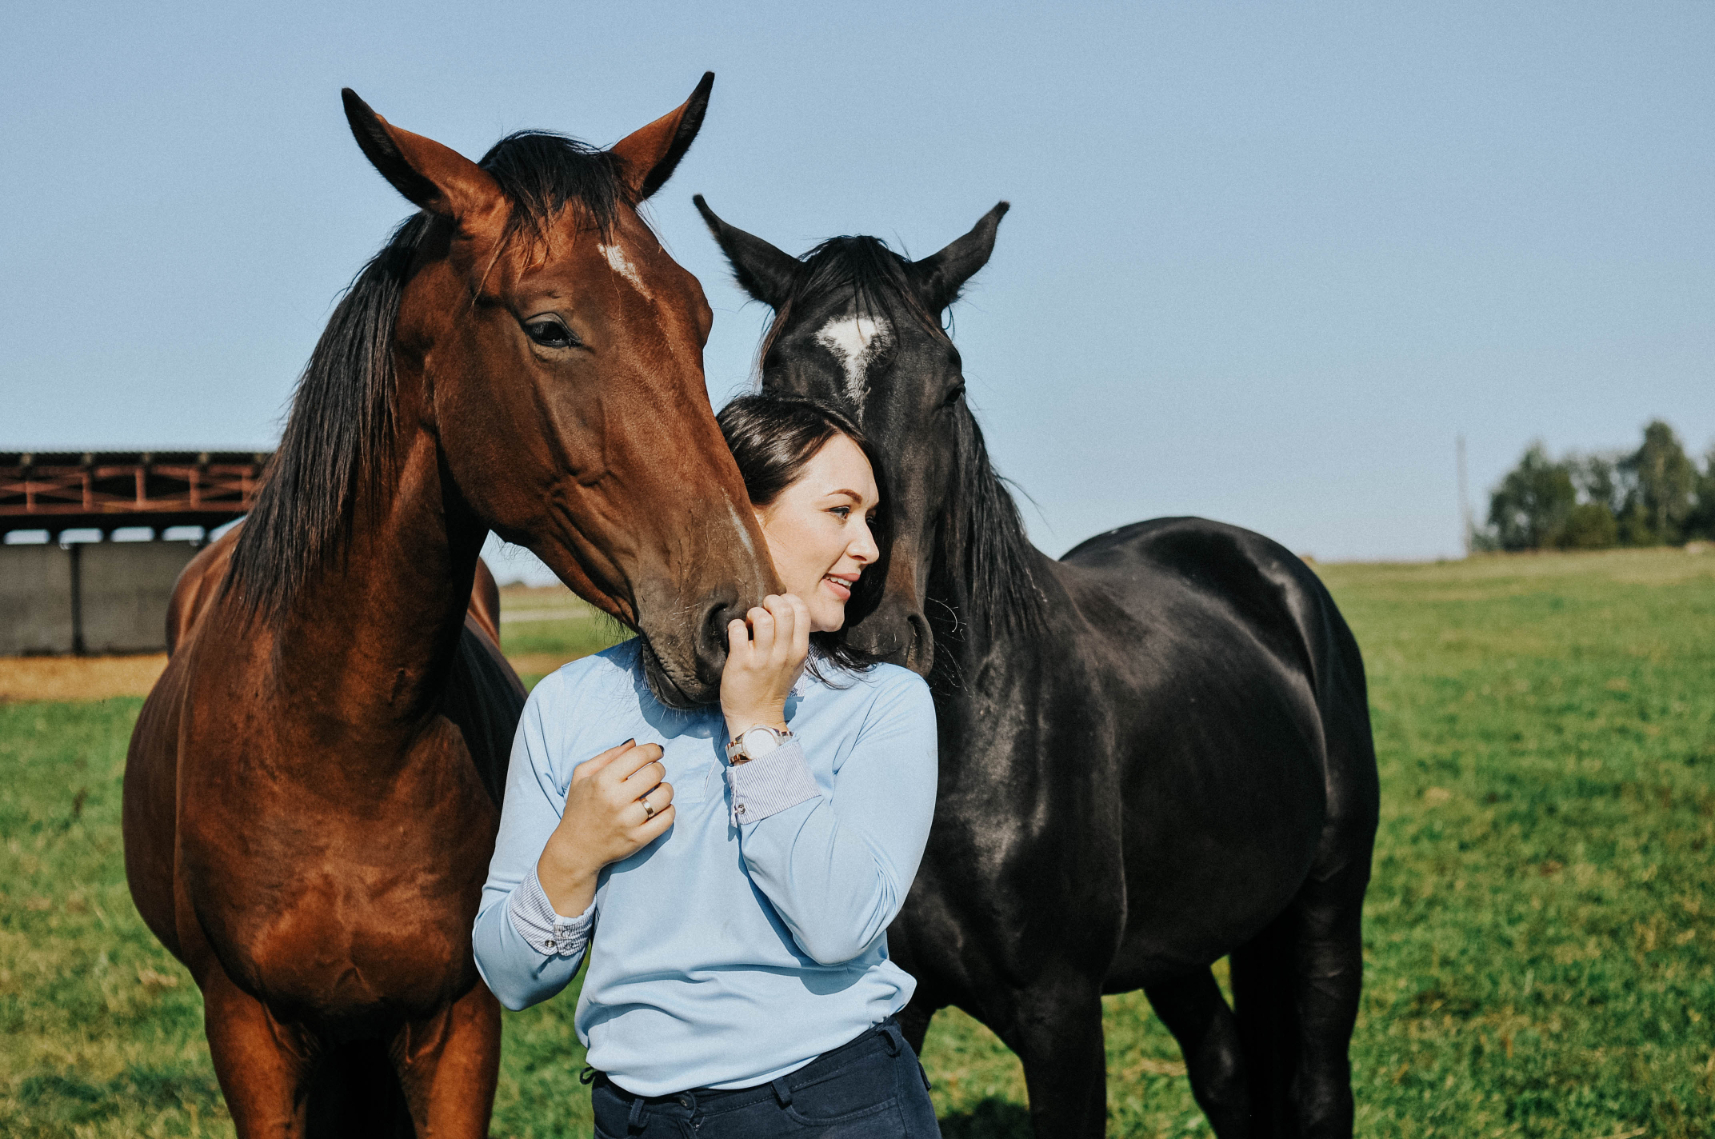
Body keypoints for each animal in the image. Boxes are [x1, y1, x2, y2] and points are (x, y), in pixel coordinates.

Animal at [114, 75, 771, 1132]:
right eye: (548, 326)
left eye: (699, 317)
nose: (737, 619)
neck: (338, 752)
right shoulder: (248, 1033)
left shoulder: (459, 1023)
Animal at [696, 198, 1378, 1139]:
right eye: (779, 383)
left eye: (949, 385)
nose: (874, 632)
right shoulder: (898, 1007)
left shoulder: (1061, 1013)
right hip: (1183, 942)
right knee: (1228, 1074)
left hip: (1325, 905)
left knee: (1316, 1090)